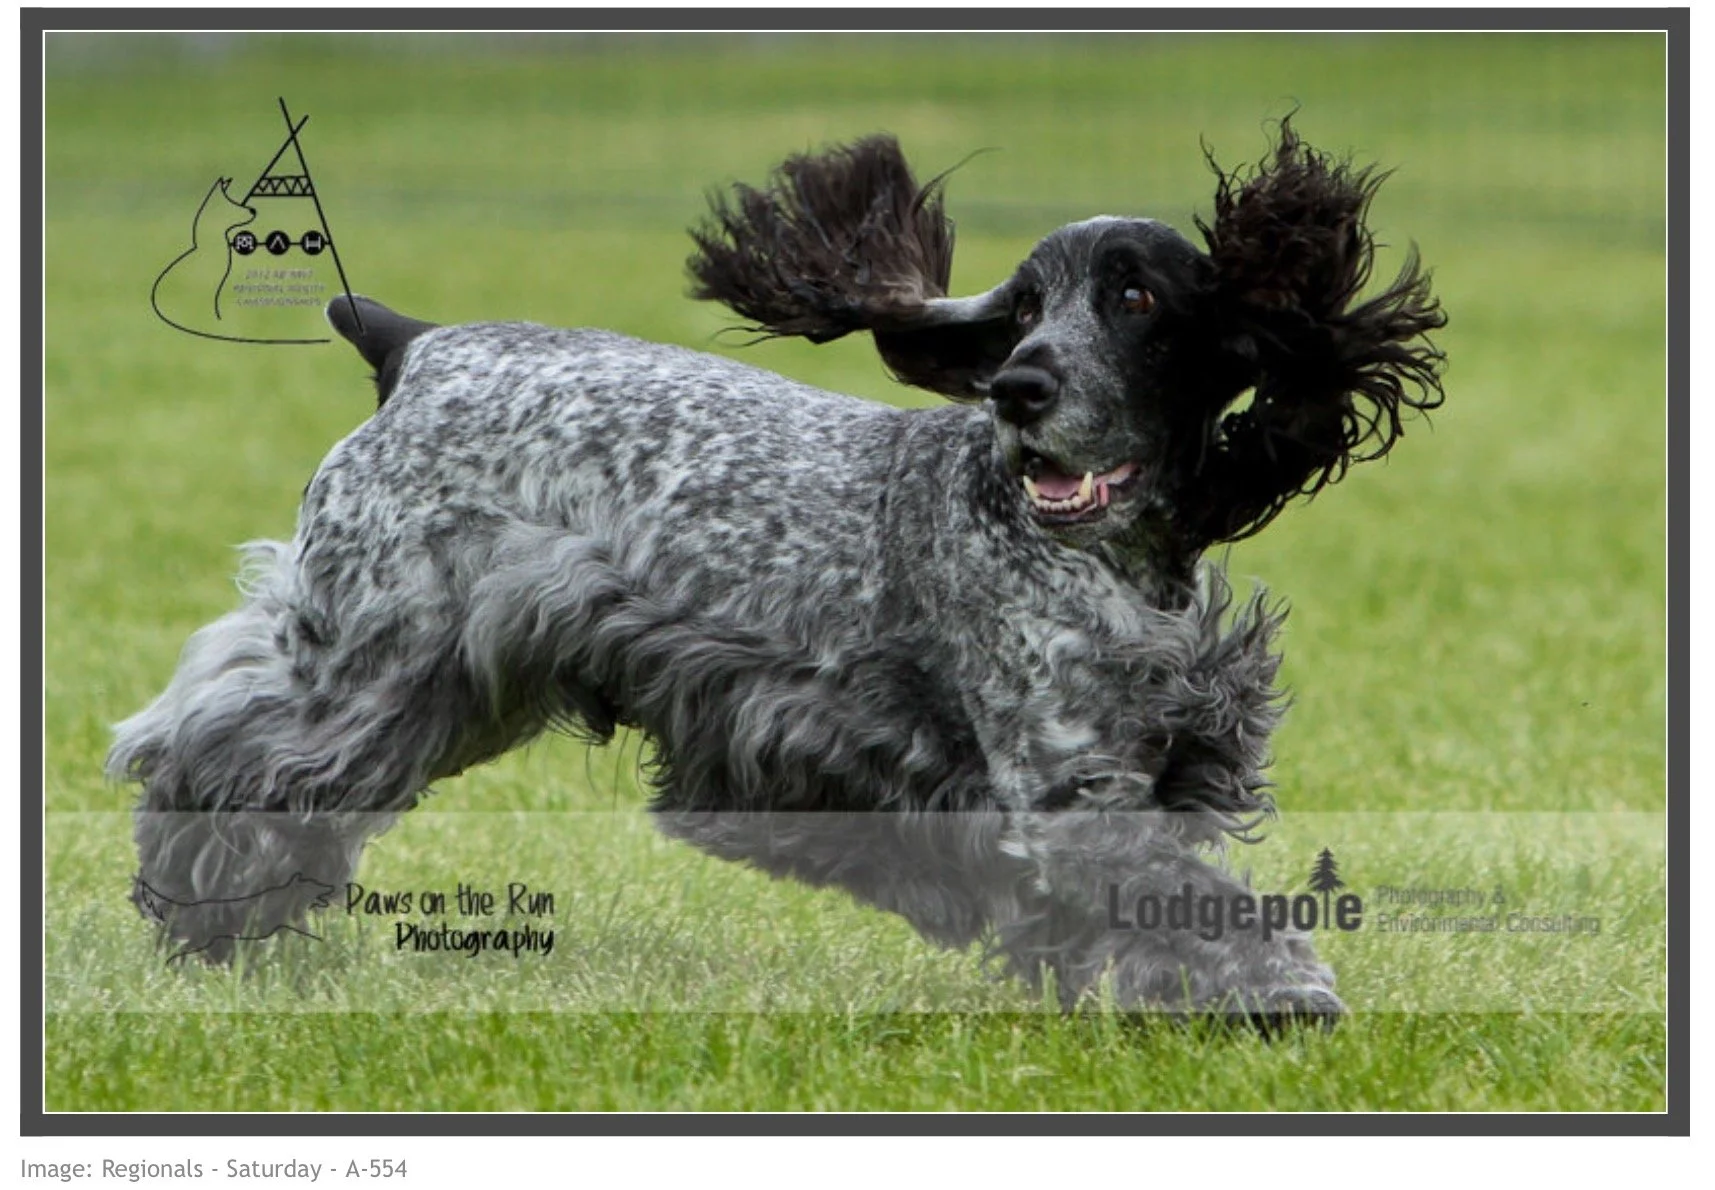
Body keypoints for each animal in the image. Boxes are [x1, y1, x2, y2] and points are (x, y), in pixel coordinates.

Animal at [111, 121, 1443, 1021]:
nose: (1019, 388)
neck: (1110, 559)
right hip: (371, 654)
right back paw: (199, 908)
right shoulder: (1065, 785)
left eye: (1136, 297)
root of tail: (415, 345)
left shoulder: (1150, 759)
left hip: (444, 681)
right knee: (213, 745)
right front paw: (1285, 991)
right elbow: (1191, 892)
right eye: (1021, 310)